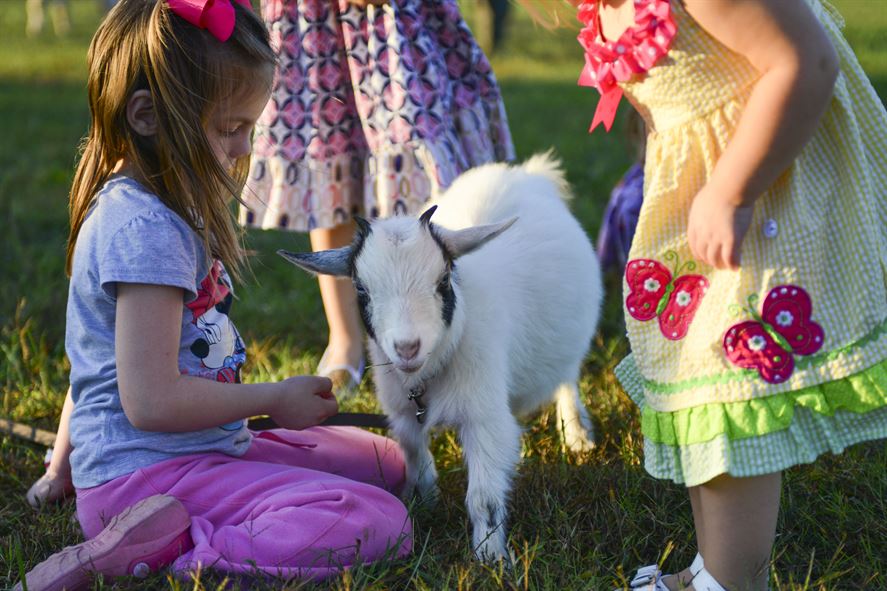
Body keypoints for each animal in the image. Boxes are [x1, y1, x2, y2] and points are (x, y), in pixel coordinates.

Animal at [280, 153, 602, 561]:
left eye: (444, 280)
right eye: (361, 289)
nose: (407, 348)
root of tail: (526, 173)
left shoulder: (484, 417)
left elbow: (483, 497)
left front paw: (491, 557)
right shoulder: (402, 413)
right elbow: (416, 459)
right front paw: (424, 503)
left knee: (567, 381)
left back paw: (577, 435)